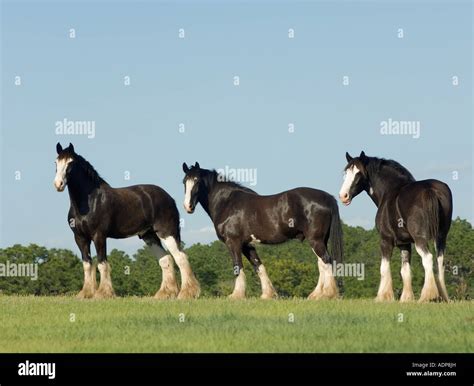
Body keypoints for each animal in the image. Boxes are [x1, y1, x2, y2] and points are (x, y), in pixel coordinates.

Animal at [53, 143, 200, 300]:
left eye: (70, 163)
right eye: (56, 162)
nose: (58, 184)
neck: (90, 201)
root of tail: (169, 198)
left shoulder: (99, 236)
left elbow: (102, 263)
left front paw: (103, 293)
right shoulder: (80, 237)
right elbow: (87, 264)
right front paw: (86, 293)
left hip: (167, 232)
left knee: (181, 257)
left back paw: (187, 293)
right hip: (149, 236)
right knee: (166, 259)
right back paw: (165, 293)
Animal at [181, 161, 340, 300]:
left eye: (197, 181)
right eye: (184, 181)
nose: (188, 206)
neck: (227, 202)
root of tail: (327, 197)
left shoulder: (233, 242)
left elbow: (238, 266)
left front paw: (236, 295)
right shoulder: (247, 245)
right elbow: (259, 266)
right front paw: (268, 295)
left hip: (315, 240)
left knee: (325, 261)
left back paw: (327, 294)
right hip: (320, 240)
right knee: (321, 263)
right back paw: (316, 295)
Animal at [336, 152, 452, 304]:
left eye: (358, 173)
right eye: (346, 172)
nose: (343, 196)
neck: (389, 191)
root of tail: (430, 189)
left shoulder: (385, 240)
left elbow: (384, 268)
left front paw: (383, 296)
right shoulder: (405, 244)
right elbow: (405, 271)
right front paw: (406, 298)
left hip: (420, 239)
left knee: (428, 258)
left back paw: (426, 296)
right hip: (441, 236)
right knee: (440, 261)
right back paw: (443, 296)